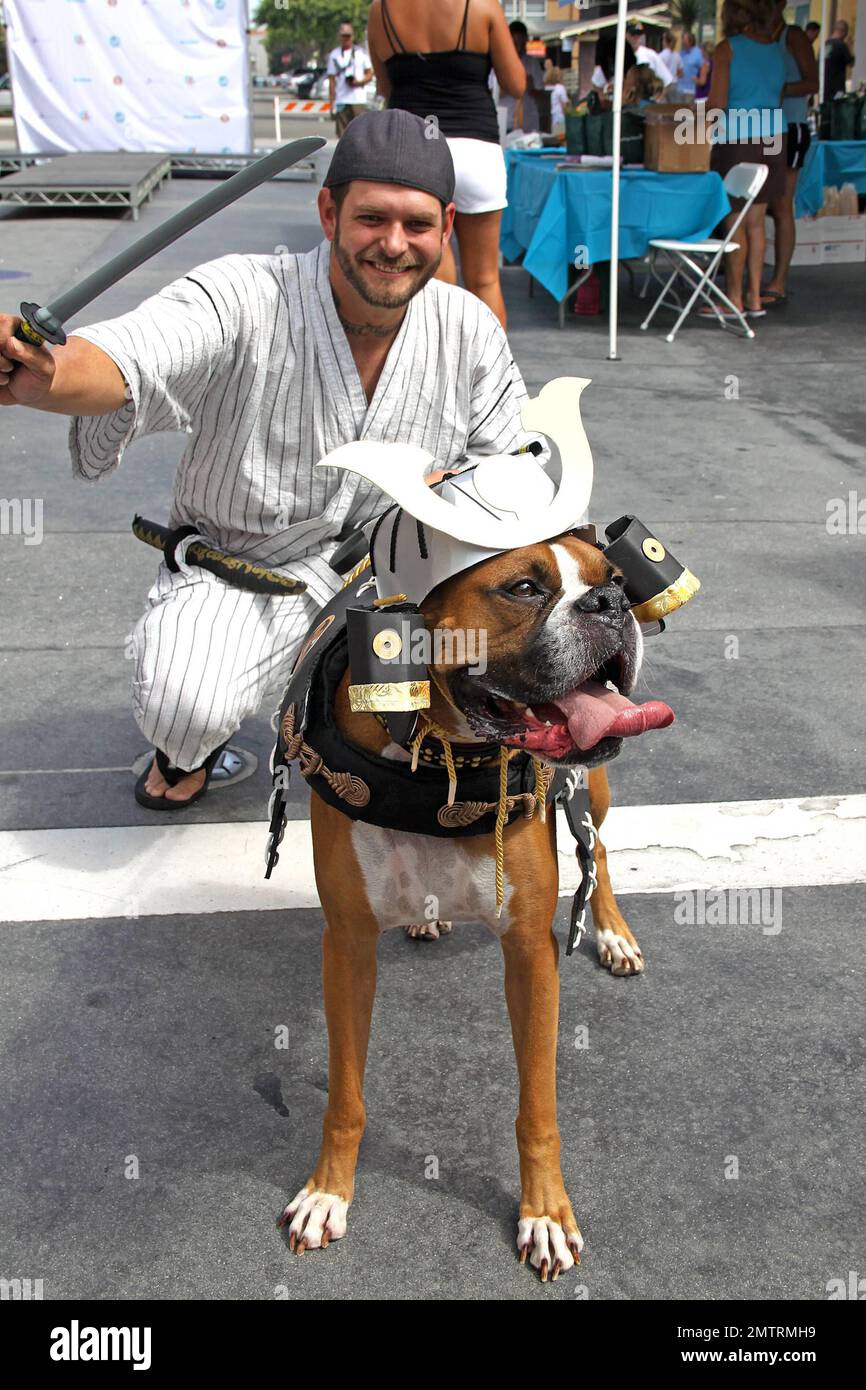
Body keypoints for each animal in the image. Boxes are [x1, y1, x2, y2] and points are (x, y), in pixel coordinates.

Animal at [278, 528, 670, 1278]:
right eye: (523, 587)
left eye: (615, 579)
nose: (610, 605)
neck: (440, 757)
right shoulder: (347, 946)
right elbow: (345, 1097)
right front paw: (327, 1193)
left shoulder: (530, 954)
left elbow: (537, 1108)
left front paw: (544, 1213)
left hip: (594, 783)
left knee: (597, 844)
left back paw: (612, 933)